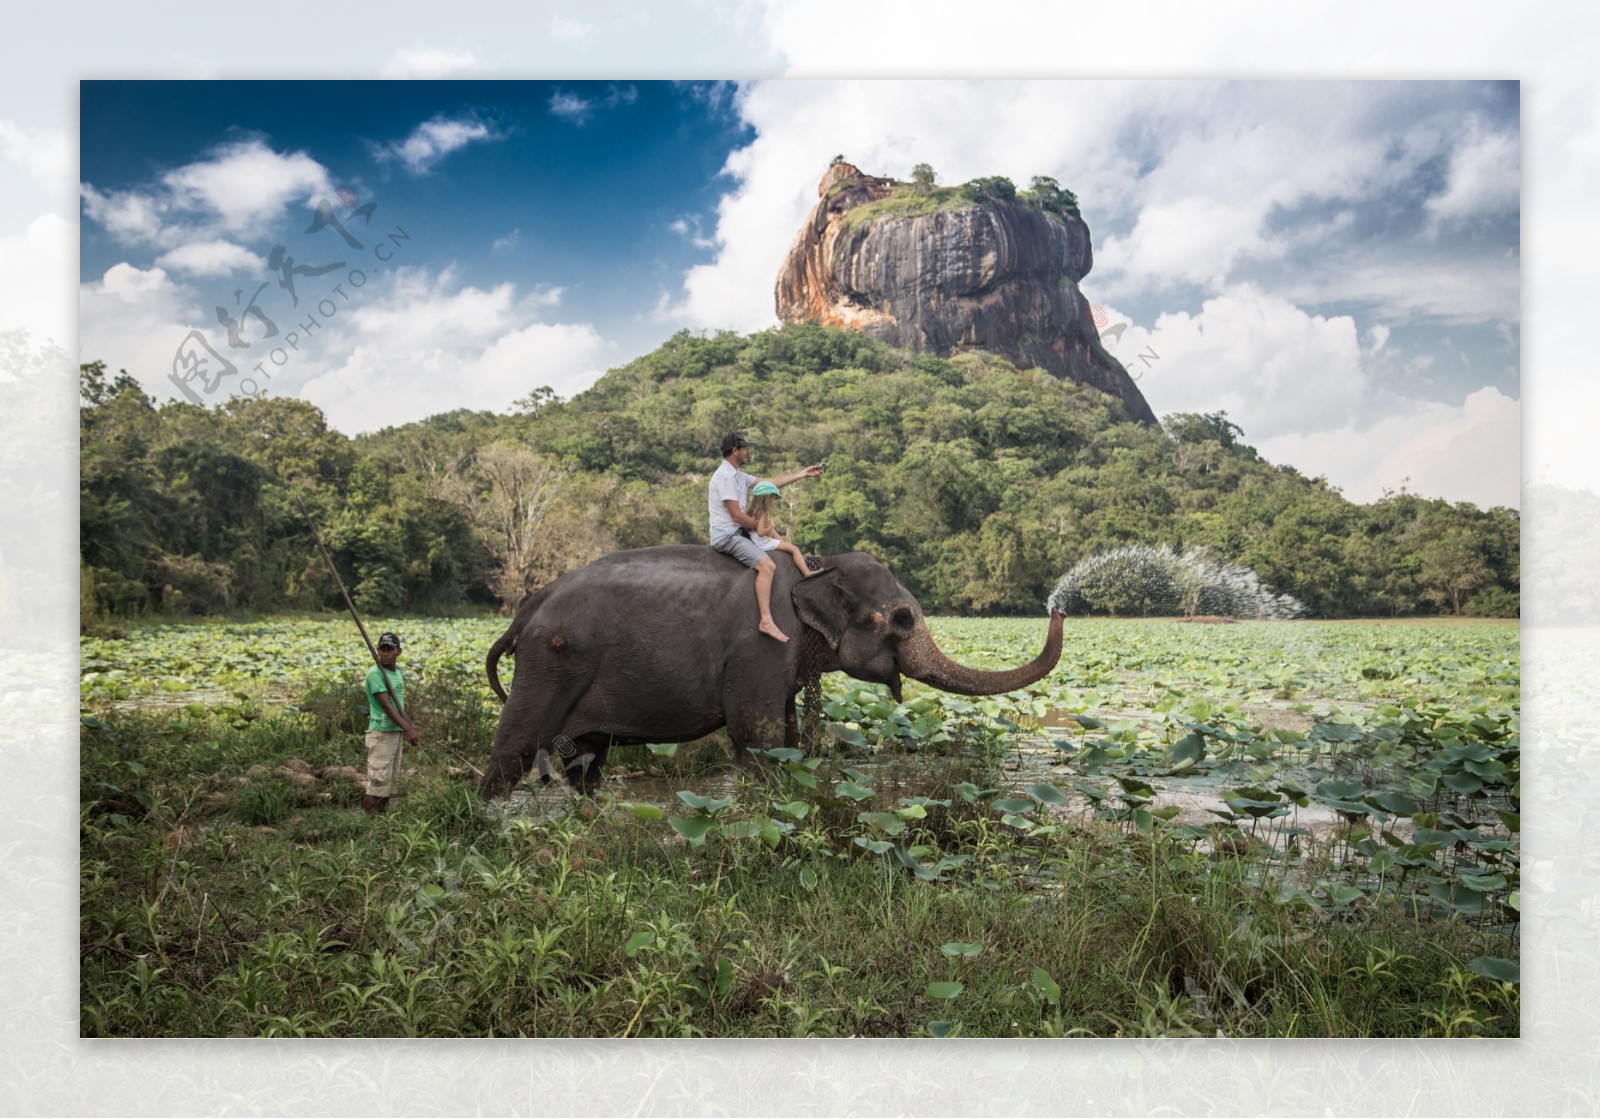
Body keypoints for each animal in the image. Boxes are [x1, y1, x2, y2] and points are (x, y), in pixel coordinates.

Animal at [480, 550, 1068, 797]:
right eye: (902, 618)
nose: (1059, 606)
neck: (814, 569)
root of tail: (526, 610)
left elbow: (783, 735)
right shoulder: (761, 648)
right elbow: (757, 738)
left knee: (586, 763)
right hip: (549, 664)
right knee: (513, 748)